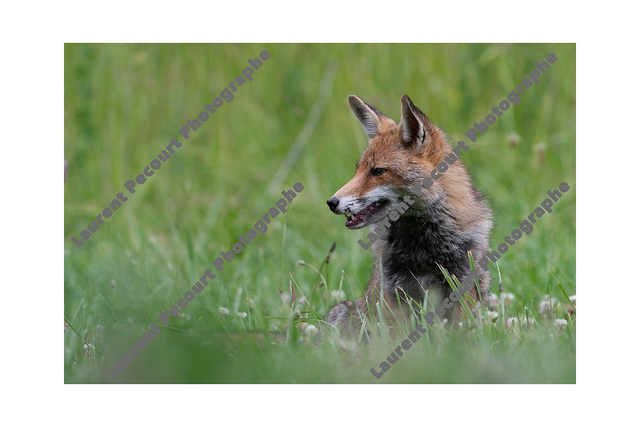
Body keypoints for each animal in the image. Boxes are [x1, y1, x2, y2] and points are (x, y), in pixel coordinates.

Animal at [325, 94, 493, 334]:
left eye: (377, 171)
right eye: (357, 171)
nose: (331, 202)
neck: (422, 246)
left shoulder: (463, 286)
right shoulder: (395, 293)